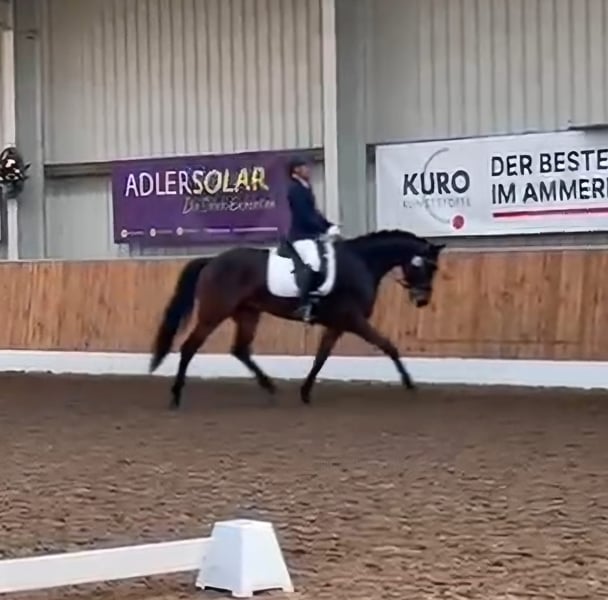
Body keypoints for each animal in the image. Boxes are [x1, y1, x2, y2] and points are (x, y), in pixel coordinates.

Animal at [150, 229, 445, 409]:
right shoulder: (352, 320)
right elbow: (388, 346)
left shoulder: (337, 325)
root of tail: (211, 261)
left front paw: (305, 391)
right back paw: (176, 396)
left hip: (248, 313)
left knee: (241, 350)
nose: (422, 300)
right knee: (189, 348)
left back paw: (270, 387)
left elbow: (321, 357)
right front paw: (409, 383)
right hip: (214, 314)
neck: (361, 262)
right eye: (427, 267)